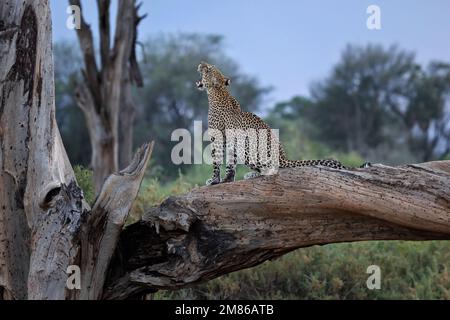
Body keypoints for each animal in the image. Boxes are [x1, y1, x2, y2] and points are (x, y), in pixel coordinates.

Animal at [196, 61, 370, 185]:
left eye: (208, 68)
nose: (201, 63)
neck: (217, 93)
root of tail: (283, 157)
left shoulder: (218, 138)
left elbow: (216, 161)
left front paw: (214, 180)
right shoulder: (231, 140)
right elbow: (230, 164)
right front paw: (227, 180)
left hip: (248, 147)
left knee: (272, 169)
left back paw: (253, 174)